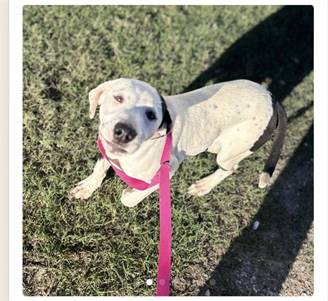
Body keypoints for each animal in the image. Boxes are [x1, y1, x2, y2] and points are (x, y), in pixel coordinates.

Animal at [70, 78, 288, 206]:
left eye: (151, 115)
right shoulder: (107, 150)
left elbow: (130, 198)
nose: (124, 133)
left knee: (230, 168)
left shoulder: (169, 169)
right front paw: (87, 187)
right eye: (118, 98)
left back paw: (204, 186)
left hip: (230, 152)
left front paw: (130, 193)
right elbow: (99, 168)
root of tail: (273, 99)